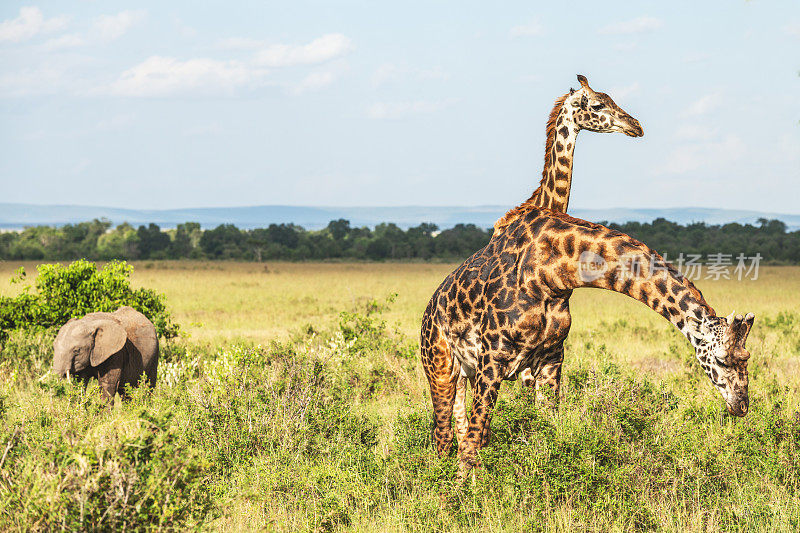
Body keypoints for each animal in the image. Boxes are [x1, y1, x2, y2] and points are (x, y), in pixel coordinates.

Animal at [418, 206, 756, 476]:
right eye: (722, 359)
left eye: (747, 358)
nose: (741, 405)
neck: (552, 272)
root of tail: (428, 312)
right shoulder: (494, 357)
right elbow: (475, 439)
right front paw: (467, 496)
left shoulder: (550, 358)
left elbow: (546, 429)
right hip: (440, 367)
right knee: (444, 435)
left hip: (466, 372)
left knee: (460, 429)